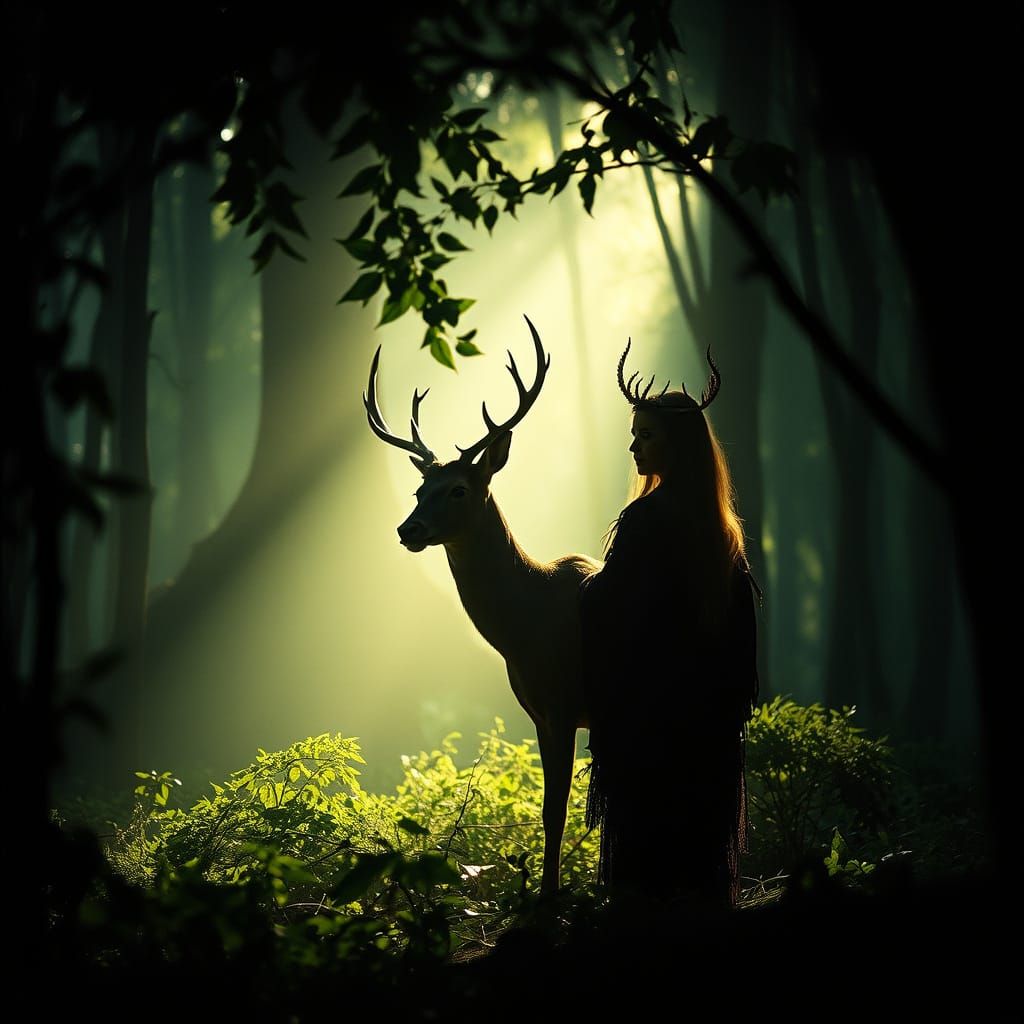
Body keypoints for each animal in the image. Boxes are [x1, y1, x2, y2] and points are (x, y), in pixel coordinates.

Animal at [363, 315, 601, 895]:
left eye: (459, 489)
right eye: (418, 490)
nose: (408, 530)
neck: (527, 628)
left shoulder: (565, 702)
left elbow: (556, 809)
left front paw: (549, 896)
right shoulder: (537, 710)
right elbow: (550, 810)